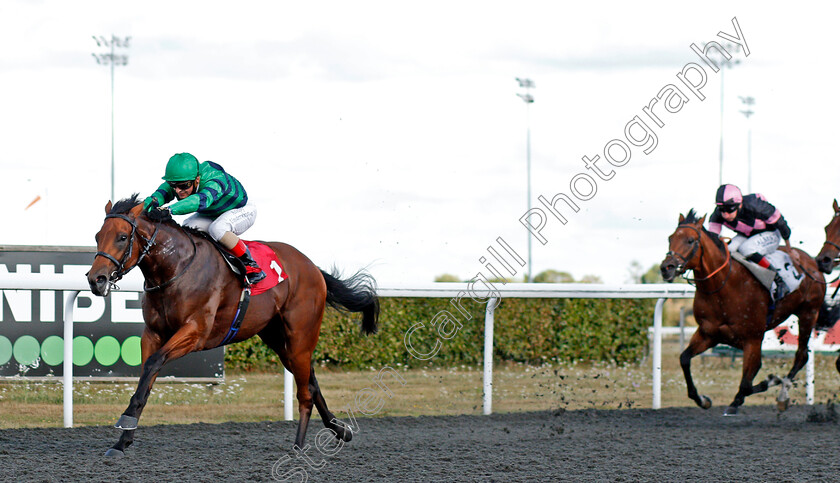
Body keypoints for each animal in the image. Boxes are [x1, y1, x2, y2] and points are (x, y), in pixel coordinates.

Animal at [86, 195, 380, 456]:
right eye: (98, 236)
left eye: (122, 237)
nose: (95, 279)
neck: (175, 268)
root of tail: (313, 267)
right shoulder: (153, 334)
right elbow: (145, 378)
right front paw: (122, 441)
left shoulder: (195, 332)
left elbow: (153, 364)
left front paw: (125, 422)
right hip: (279, 340)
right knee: (311, 381)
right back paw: (340, 430)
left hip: (300, 337)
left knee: (305, 392)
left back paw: (299, 446)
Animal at [656, 210, 828, 414]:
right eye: (670, 238)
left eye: (690, 240)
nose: (666, 268)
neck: (723, 287)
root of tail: (812, 262)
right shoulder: (708, 334)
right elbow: (684, 359)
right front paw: (703, 399)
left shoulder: (752, 339)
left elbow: (747, 383)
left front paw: (763, 385)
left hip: (808, 313)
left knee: (802, 355)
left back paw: (782, 393)